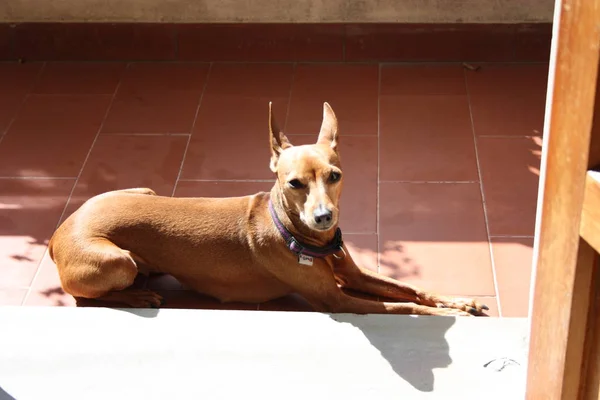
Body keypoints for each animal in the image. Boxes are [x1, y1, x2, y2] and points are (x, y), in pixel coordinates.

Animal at [49, 103, 490, 316]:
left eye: (335, 175)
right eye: (294, 183)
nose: (324, 218)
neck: (303, 237)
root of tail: (57, 233)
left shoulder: (353, 274)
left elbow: (412, 289)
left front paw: (460, 302)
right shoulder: (339, 301)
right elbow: (406, 307)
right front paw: (452, 317)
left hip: (146, 191)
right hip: (114, 262)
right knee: (84, 300)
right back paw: (138, 297)